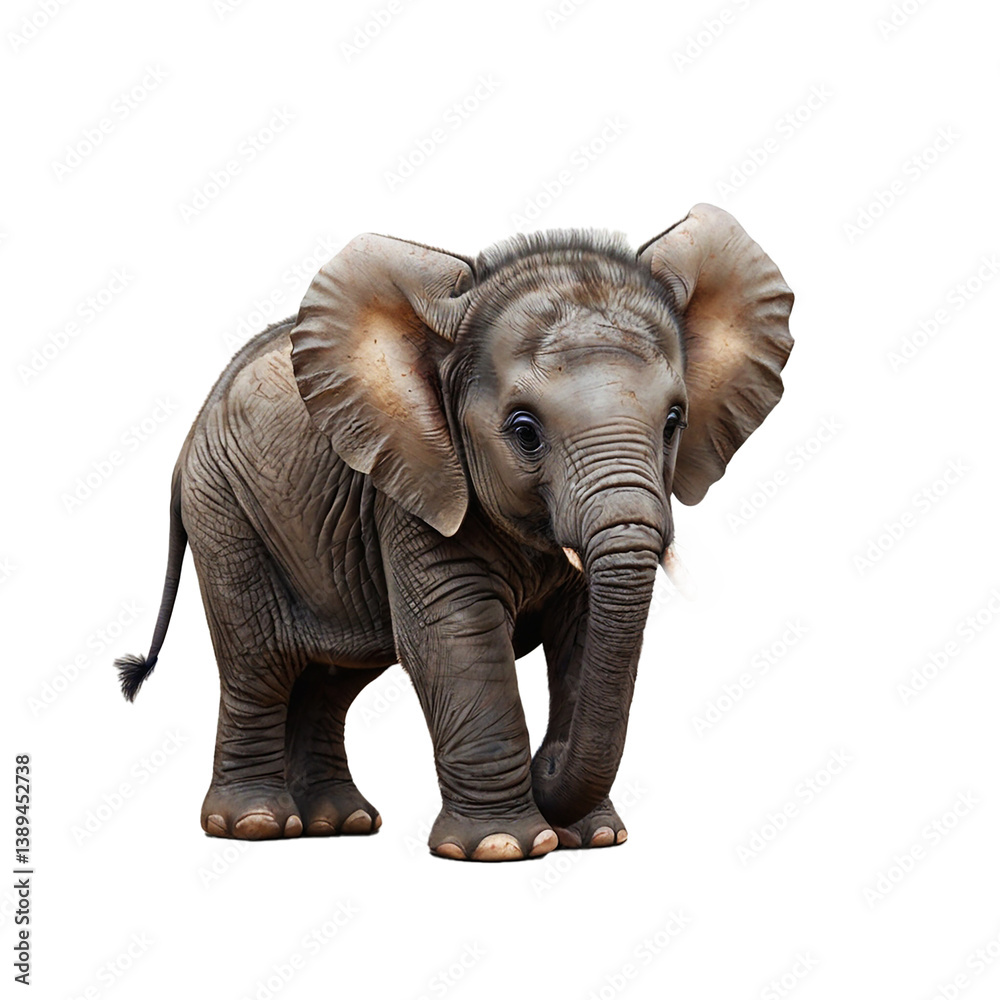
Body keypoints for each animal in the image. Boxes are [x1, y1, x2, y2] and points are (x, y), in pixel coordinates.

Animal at [115, 203, 793, 862]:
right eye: (524, 431)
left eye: (675, 421)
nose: (548, 766)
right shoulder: (414, 483)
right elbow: (454, 632)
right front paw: (505, 847)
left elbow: (580, 633)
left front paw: (595, 839)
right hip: (225, 510)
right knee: (259, 665)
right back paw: (255, 825)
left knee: (331, 677)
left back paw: (340, 823)